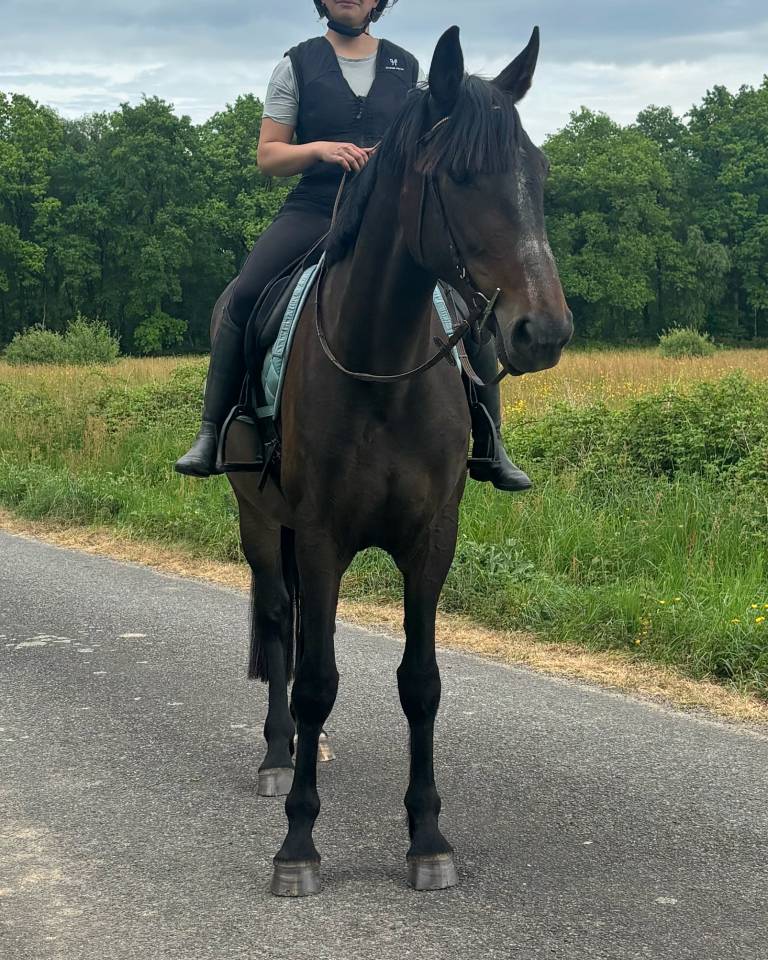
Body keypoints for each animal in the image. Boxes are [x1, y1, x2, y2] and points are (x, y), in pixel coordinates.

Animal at [222, 25, 573, 897]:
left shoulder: (429, 540)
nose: (544, 332)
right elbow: (318, 679)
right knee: (278, 622)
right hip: (258, 520)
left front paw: (427, 838)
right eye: (460, 175)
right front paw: (298, 845)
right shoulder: (318, 537)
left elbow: (421, 683)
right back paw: (278, 758)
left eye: (538, 171)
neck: (381, 365)